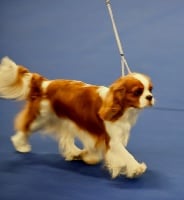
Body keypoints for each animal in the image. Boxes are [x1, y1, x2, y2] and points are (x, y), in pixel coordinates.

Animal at [0, 56, 155, 178]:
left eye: (150, 89)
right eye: (137, 92)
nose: (150, 97)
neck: (123, 109)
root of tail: (44, 83)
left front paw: (88, 157)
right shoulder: (112, 139)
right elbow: (126, 154)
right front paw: (136, 168)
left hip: (63, 119)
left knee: (66, 137)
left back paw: (74, 152)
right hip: (40, 118)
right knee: (24, 128)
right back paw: (21, 145)